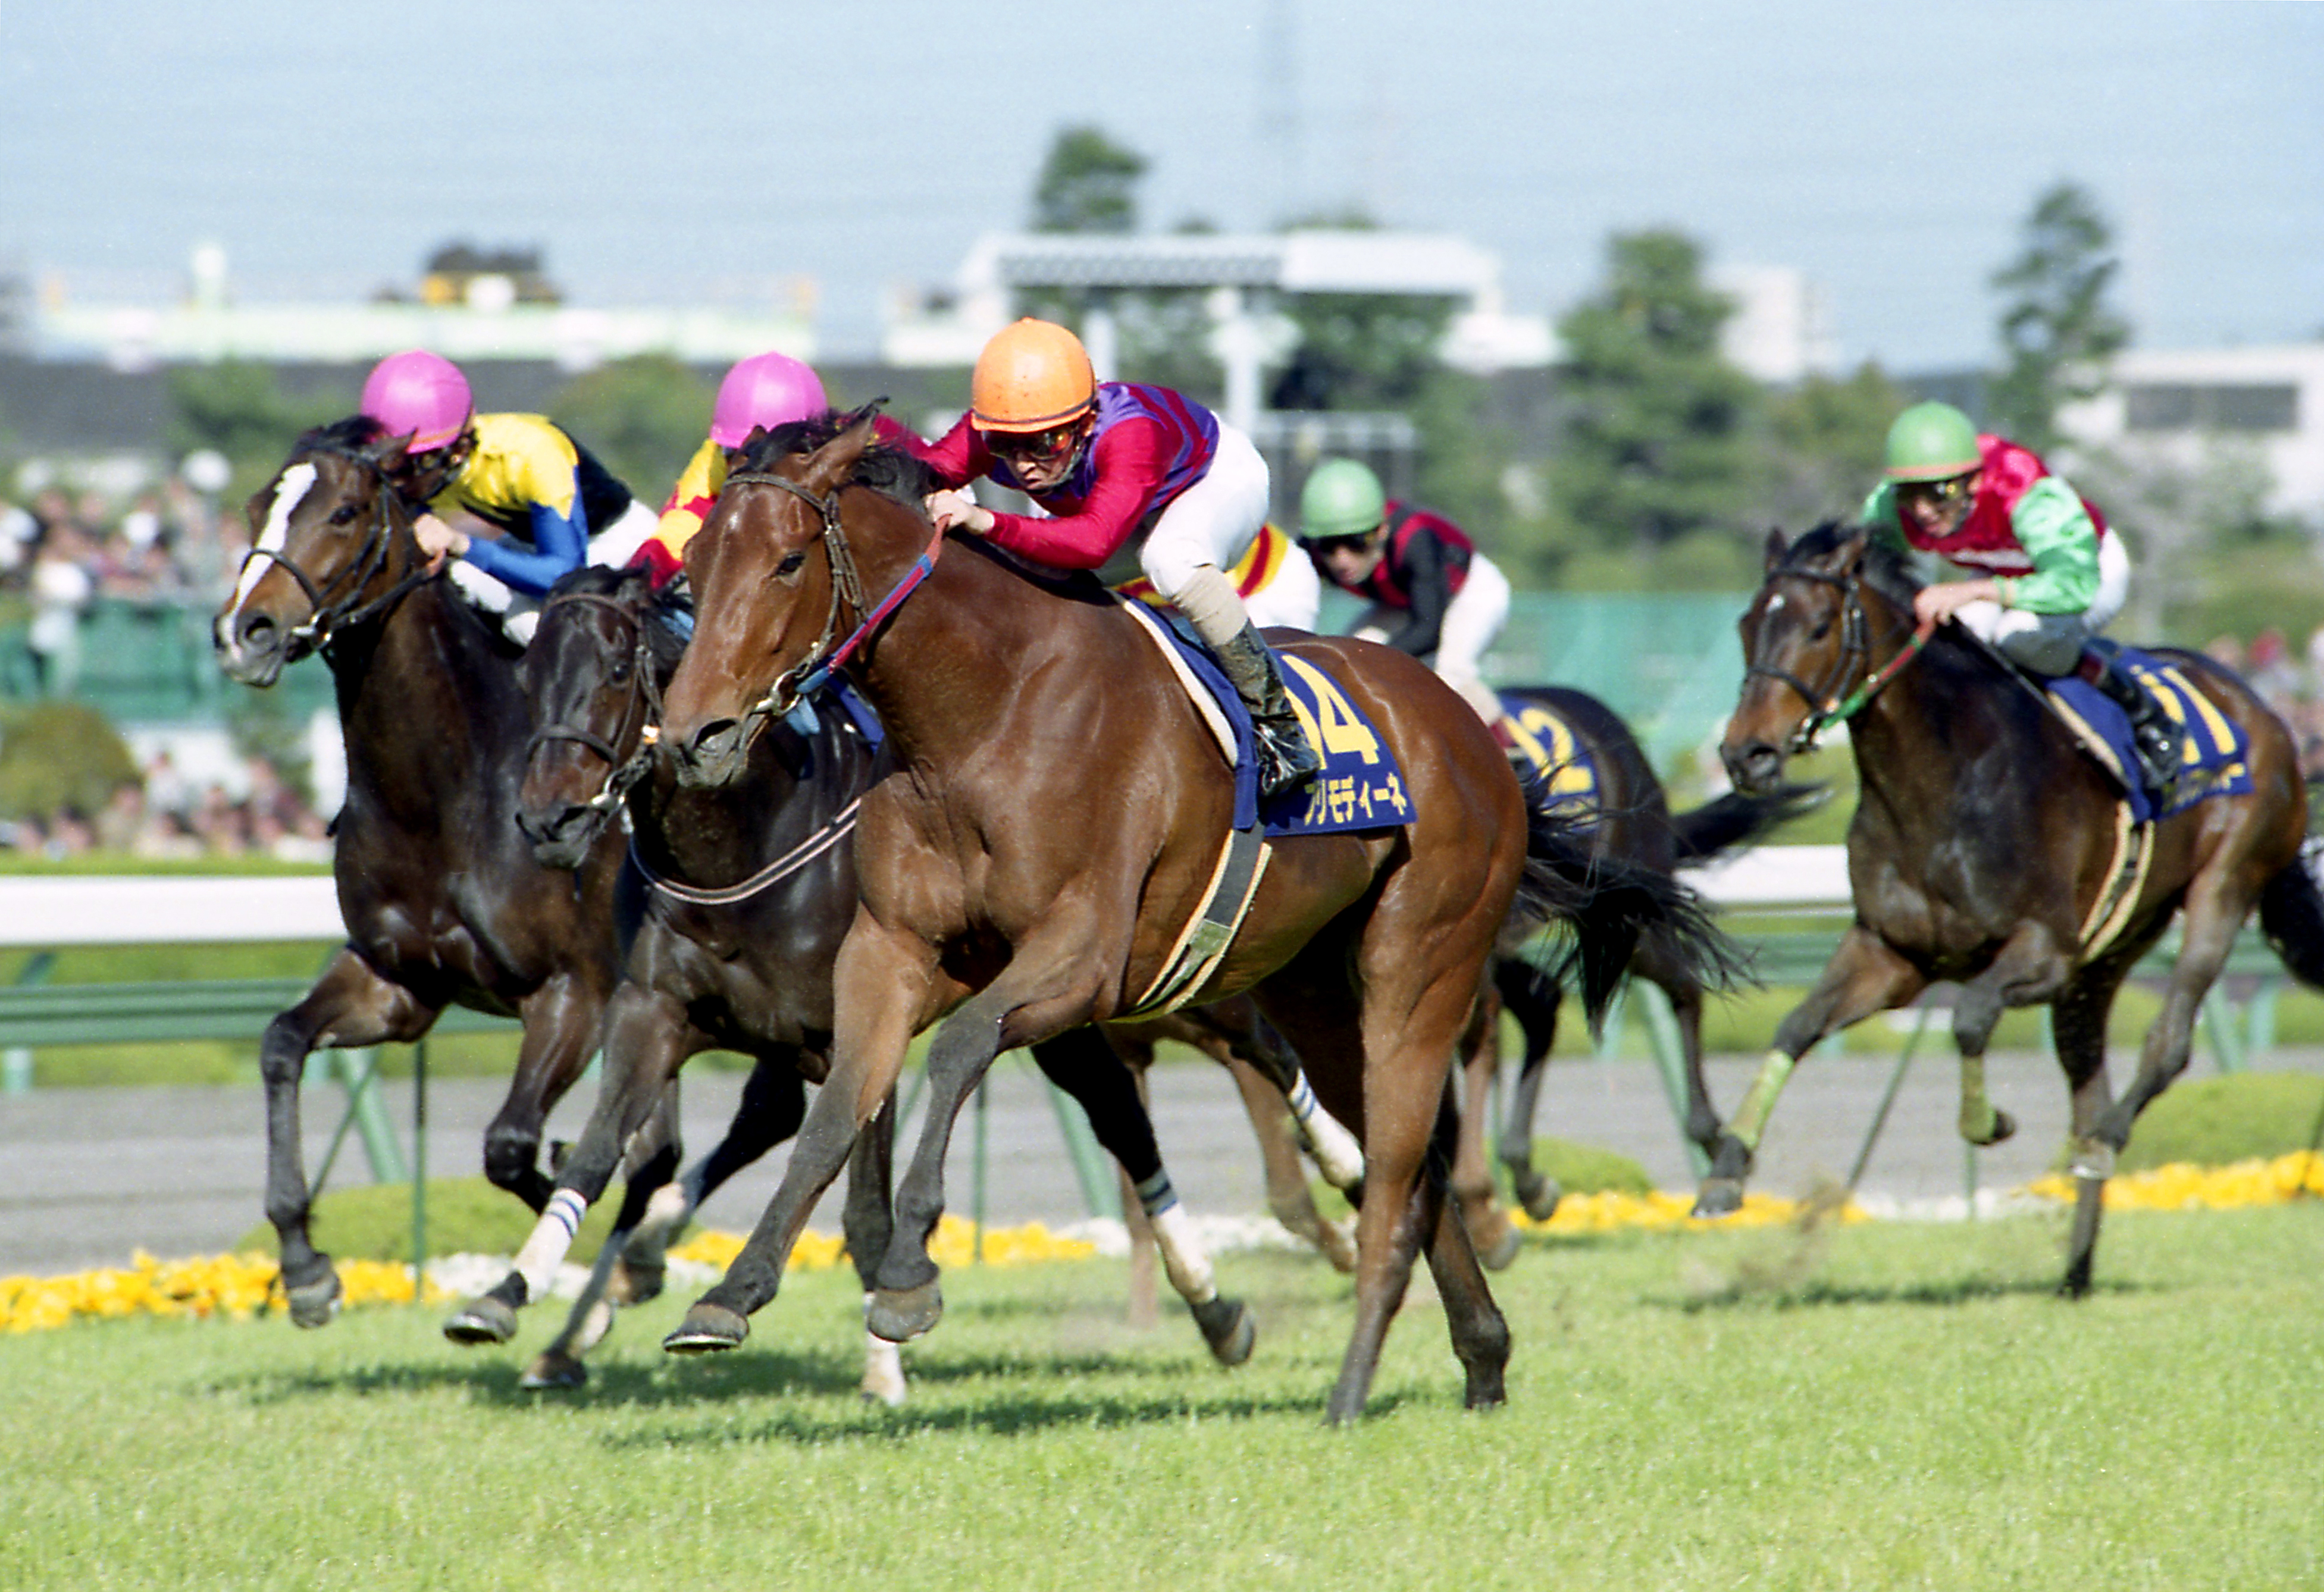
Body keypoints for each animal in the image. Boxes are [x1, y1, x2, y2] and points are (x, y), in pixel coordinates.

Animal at [443, 563, 1368, 1389]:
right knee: (1122, 1115)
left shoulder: (843, 1027)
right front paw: (509, 1293)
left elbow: (859, 1205)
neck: (746, 846)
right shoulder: (656, 1011)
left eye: (611, 672)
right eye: (527, 677)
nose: (548, 819)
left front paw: (882, 1361)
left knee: (1246, 1052)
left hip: (1155, 981)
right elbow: (600, 1152)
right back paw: (1220, 1306)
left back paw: (1336, 1176)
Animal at [650, 412, 1725, 1422]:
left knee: (1402, 1161)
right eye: (694, 568)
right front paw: (732, 1293)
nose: (694, 736)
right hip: (1316, 989)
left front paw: (910, 1268)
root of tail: (1471, 734)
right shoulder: (891, 951)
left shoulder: (1081, 961)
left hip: (1422, 962)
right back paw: (1483, 1356)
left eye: (788, 561)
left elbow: (957, 1050)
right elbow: (841, 1104)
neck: (981, 713)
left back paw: (1362, 1376)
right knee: (1408, 1157)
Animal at [1706, 522, 2324, 1293]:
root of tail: (2260, 708)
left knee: (2168, 1044)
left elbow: (1970, 1018)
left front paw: (1987, 1121)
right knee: (2088, 1083)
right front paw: (1726, 1170)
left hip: (2224, 883)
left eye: (1820, 626)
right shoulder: (1891, 952)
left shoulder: (2045, 950)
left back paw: (2104, 1145)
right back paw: (2076, 1270)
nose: (1747, 754)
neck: (1940, 782)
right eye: (1745, 625)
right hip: (2111, 951)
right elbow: (1796, 1025)